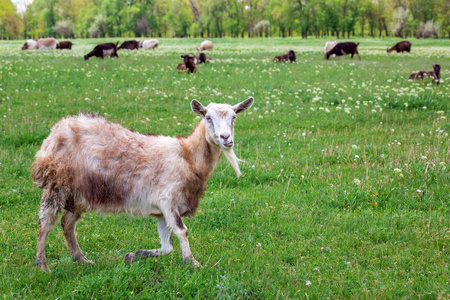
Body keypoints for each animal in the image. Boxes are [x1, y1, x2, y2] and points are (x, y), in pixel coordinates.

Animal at [32, 97, 253, 270]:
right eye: (208, 117)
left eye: (234, 117)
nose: (226, 138)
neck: (188, 156)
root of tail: (56, 131)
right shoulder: (167, 199)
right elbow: (182, 231)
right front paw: (192, 262)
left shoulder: (162, 211)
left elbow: (166, 247)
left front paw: (133, 255)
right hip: (56, 184)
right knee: (45, 222)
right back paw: (43, 265)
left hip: (79, 194)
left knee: (67, 223)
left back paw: (81, 259)